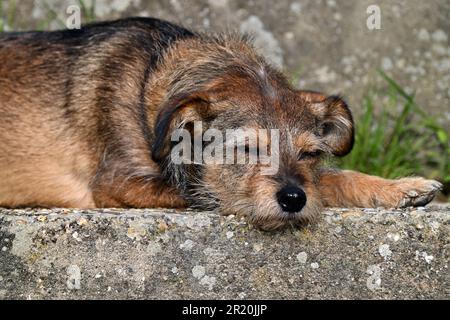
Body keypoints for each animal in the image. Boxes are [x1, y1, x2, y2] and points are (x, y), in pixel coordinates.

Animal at [0, 17, 442, 230]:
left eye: (309, 153)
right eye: (247, 149)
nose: (293, 199)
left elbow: (330, 178)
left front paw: (399, 187)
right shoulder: (120, 182)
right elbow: (208, 190)